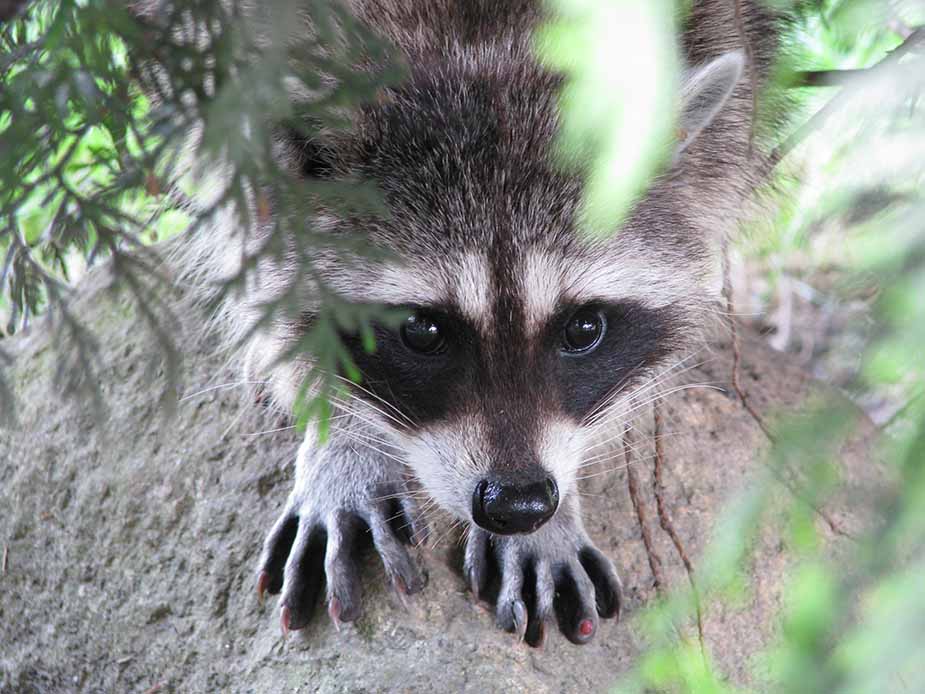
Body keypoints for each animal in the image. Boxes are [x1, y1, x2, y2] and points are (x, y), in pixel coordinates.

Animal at [171, 0, 780, 648]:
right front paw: (344, 434)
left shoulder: (720, 40)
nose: (518, 504)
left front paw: (555, 516)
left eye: (584, 329)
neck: (489, 49)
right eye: (422, 331)